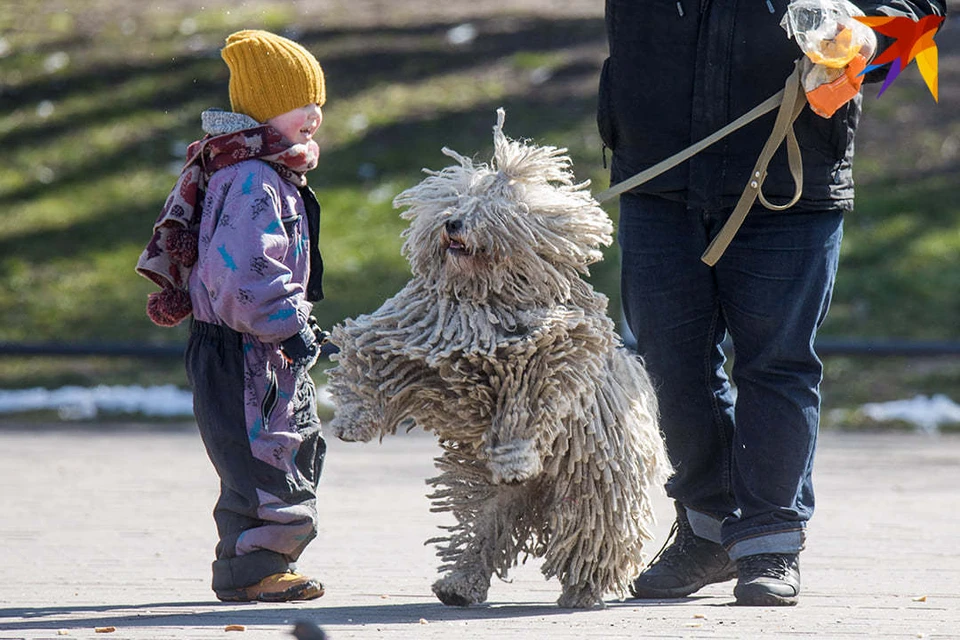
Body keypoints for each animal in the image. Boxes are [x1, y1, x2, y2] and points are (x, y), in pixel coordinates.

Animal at [326, 107, 672, 608]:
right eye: (456, 200)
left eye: (491, 207)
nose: (453, 224)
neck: (481, 303)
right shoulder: (413, 339)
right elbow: (367, 357)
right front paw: (353, 421)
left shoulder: (543, 360)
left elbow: (524, 409)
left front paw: (514, 459)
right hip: (484, 490)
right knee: (484, 528)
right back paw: (460, 582)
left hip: (594, 482)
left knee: (594, 533)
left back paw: (583, 589)